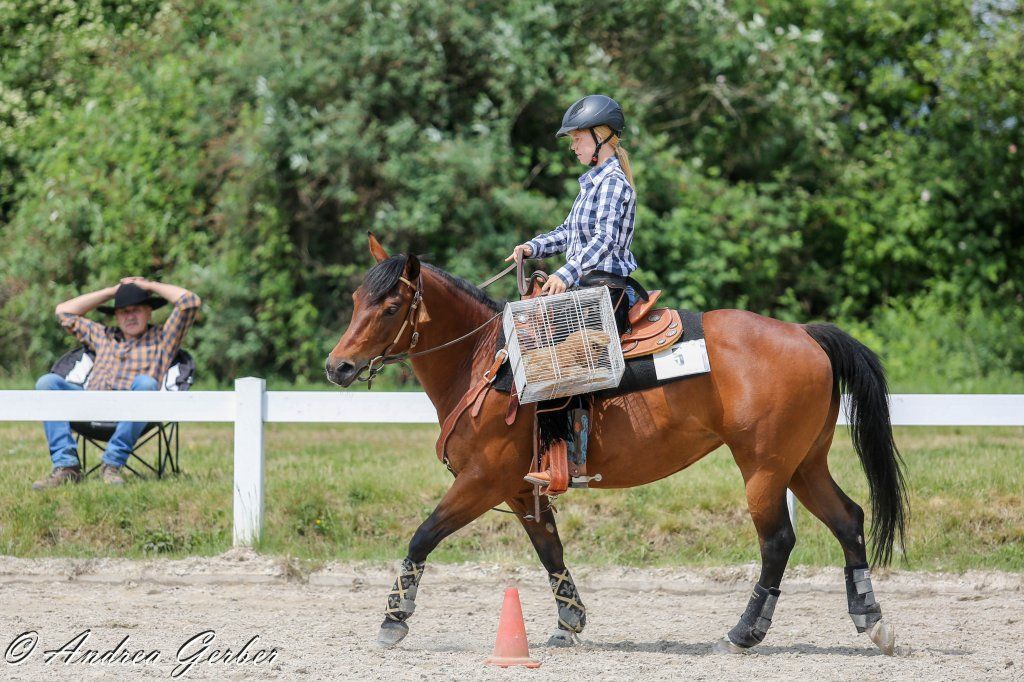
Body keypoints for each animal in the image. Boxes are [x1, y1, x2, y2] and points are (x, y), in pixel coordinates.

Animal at [325, 234, 907, 655]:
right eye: (356, 299)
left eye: (391, 305)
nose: (338, 366)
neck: (486, 361)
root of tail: (806, 334)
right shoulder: (519, 488)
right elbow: (550, 548)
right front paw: (569, 620)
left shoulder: (482, 482)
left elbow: (423, 536)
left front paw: (393, 620)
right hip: (804, 464)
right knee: (848, 519)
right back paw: (872, 622)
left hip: (764, 469)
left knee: (778, 541)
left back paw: (744, 633)